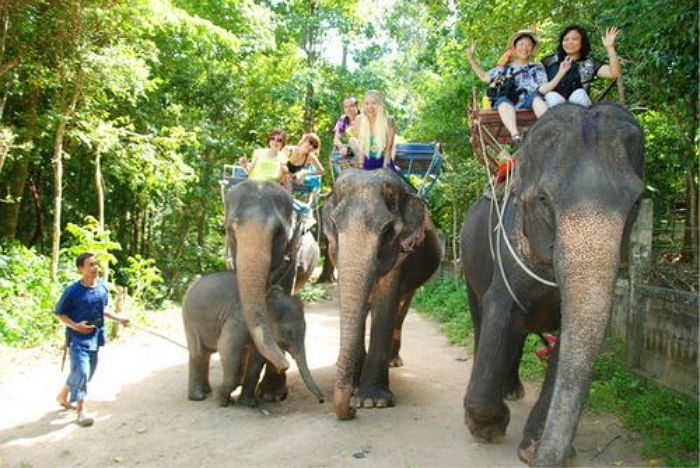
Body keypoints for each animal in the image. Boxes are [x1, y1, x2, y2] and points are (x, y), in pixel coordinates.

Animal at [180, 270, 322, 406]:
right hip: (190, 319)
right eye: (287, 333)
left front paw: (249, 403)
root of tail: (193, 284)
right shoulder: (239, 322)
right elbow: (225, 347)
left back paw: (207, 392)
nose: (322, 400)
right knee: (199, 352)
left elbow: (256, 360)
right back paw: (198, 397)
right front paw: (223, 401)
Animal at [322, 168, 440, 420]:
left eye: (387, 230)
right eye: (334, 225)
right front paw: (355, 390)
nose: (350, 411)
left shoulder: (402, 253)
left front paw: (370, 401)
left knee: (401, 309)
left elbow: (386, 304)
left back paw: (393, 362)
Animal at [460, 103, 644, 464]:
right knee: (481, 317)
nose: (557, 456)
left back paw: (512, 390)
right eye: (544, 200)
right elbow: (498, 311)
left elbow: (570, 338)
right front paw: (487, 427)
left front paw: (531, 447)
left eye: (635, 204)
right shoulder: (507, 248)